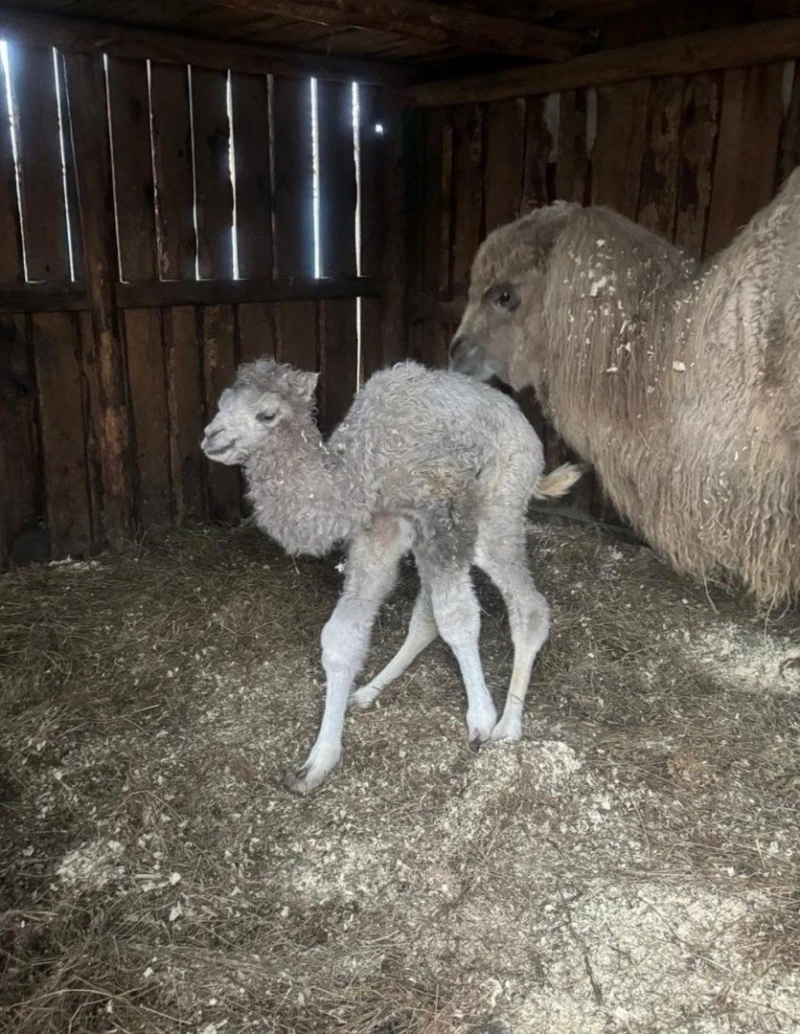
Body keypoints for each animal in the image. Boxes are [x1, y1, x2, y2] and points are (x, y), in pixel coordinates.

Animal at [199, 355, 574, 789]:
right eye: (222, 402)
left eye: (267, 413)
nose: (211, 437)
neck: (360, 471)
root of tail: (527, 429)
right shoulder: (380, 530)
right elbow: (341, 638)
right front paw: (316, 763)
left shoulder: (442, 518)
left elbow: (458, 620)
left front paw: (481, 720)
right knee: (427, 616)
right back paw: (368, 691)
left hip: (498, 511)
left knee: (529, 608)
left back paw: (509, 727)